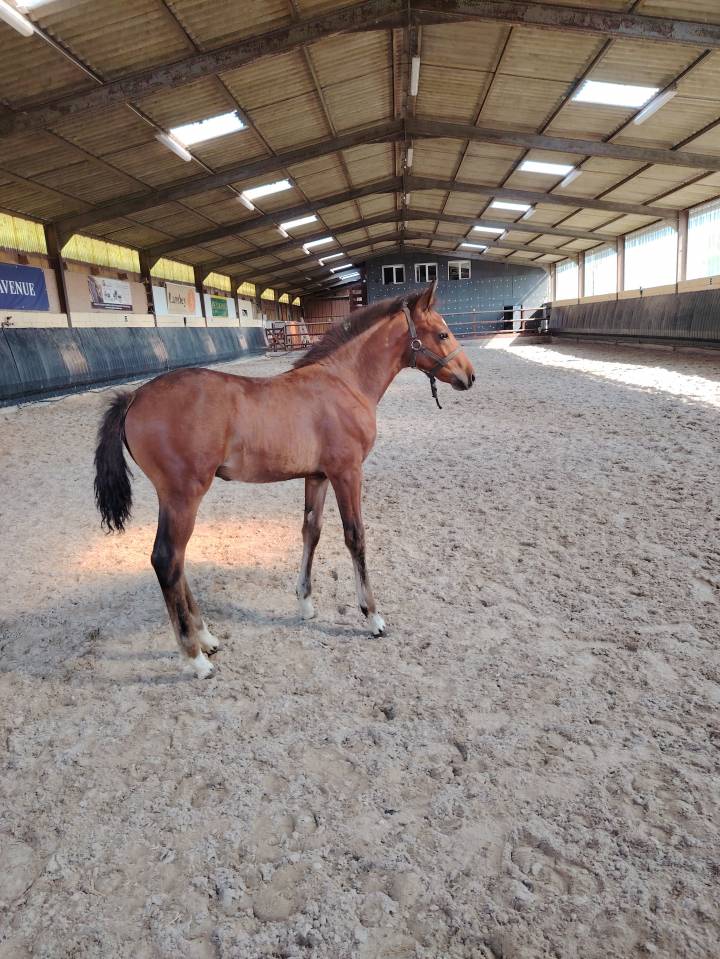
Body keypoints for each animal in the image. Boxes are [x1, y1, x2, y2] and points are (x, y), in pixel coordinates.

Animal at [94, 280, 475, 678]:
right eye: (442, 333)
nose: (469, 376)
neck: (344, 382)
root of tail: (134, 396)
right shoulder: (347, 472)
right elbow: (355, 537)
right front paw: (372, 616)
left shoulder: (318, 476)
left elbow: (311, 531)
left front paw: (305, 603)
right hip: (183, 495)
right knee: (166, 559)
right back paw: (195, 657)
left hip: (175, 499)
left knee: (177, 560)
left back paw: (207, 638)